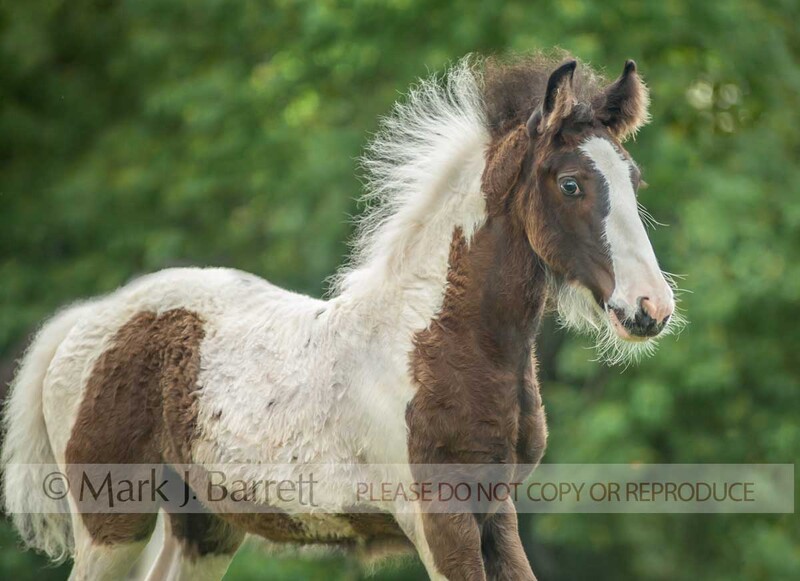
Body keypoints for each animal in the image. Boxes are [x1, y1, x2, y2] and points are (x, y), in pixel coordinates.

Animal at [2, 52, 681, 580]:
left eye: (635, 180)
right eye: (570, 184)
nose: (650, 308)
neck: (438, 338)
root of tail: (88, 318)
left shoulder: (496, 512)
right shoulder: (439, 518)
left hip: (205, 525)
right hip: (113, 519)